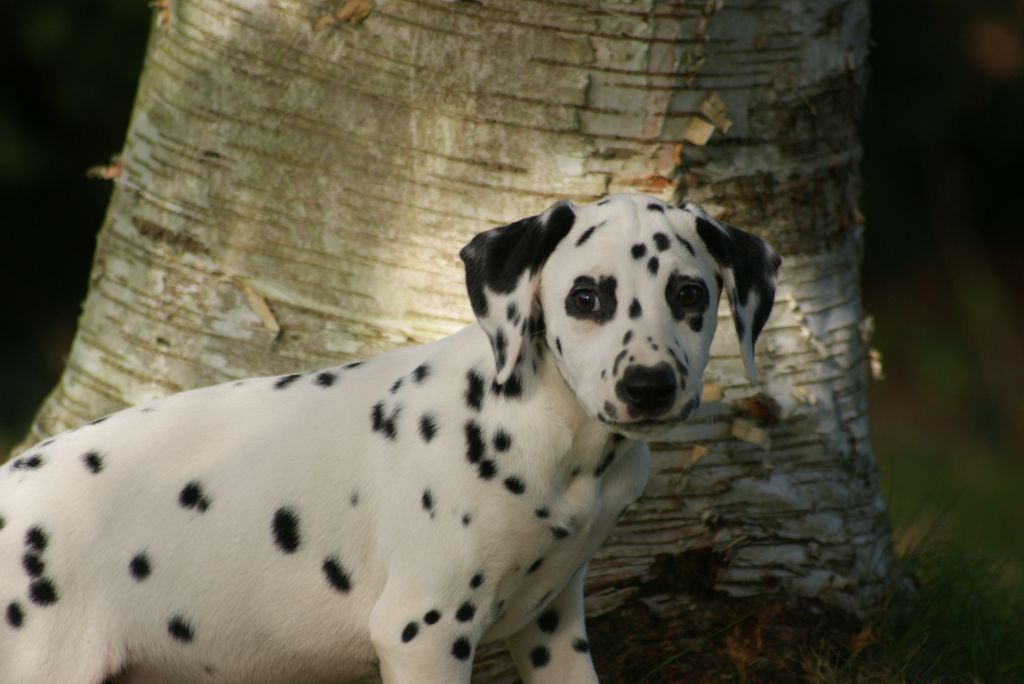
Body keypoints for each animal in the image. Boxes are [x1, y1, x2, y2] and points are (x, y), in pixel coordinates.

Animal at [0, 193, 779, 683]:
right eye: (586, 297)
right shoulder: (424, 632)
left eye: (690, 294)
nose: (649, 386)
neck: (557, 441)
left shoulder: (552, 624)